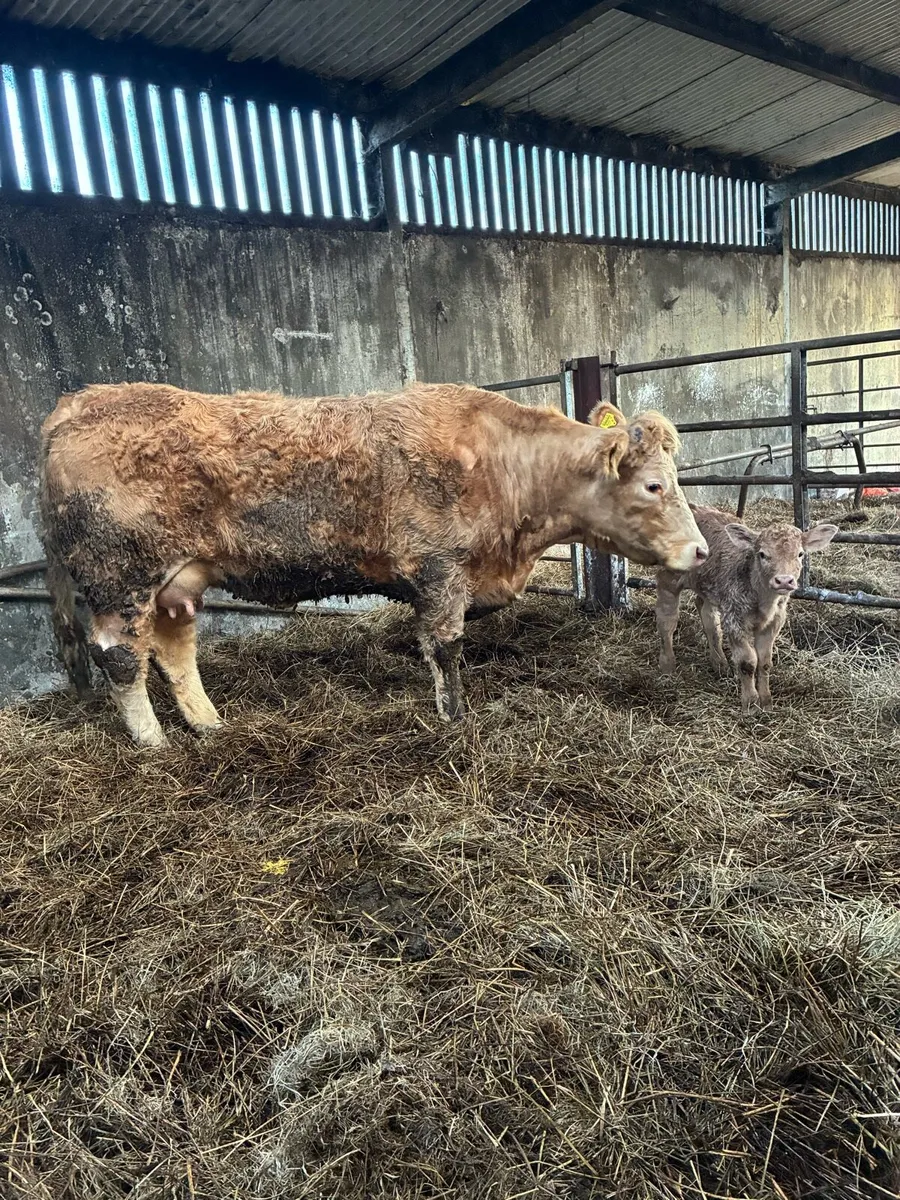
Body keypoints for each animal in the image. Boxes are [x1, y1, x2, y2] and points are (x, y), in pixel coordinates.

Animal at [41, 381, 708, 746]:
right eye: (653, 486)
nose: (699, 549)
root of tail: (76, 406)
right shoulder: (439, 570)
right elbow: (444, 648)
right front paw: (454, 719)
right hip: (118, 576)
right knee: (120, 656)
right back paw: (154, 742)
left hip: (177, 580)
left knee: (175, 649)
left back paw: (209, 725)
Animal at [655, 505, 838, 712]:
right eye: (762, 554)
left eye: (800, 554)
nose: (784, 580)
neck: (763, 600)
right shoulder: (734, 617)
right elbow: (747, 662)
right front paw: (750, 703)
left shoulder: (774, 621)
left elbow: (765, 661)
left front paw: (766, 702)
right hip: (670, 577)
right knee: (667, 618)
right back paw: (668, 666)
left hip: (709, 586)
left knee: (707, 615)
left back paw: (719, 664)